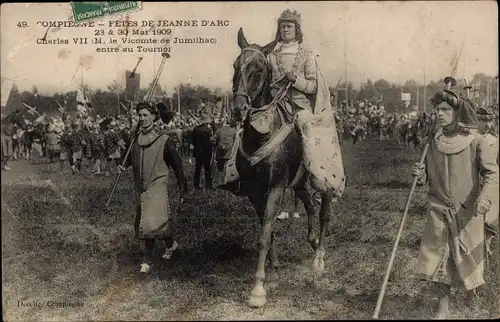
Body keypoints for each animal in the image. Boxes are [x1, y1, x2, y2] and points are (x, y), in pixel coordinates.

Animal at [231, 29, 336, 306]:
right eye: (235, 66)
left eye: (259, 69)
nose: (238, 109)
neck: (262, 134)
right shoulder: (255, 192)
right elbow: (267, 232)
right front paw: (274, 271)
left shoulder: (276, 187)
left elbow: (264, 235)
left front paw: (258, 288)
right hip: (299, 184)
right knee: (310, 206)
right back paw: (312, 243)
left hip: (323, 181)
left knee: (324, 213)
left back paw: (319, 258)